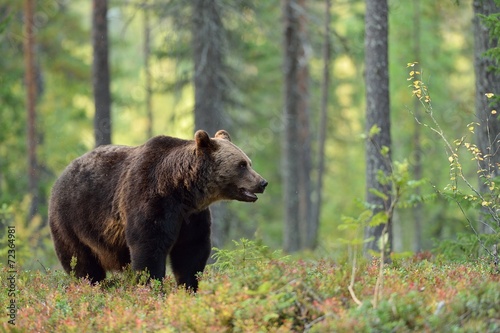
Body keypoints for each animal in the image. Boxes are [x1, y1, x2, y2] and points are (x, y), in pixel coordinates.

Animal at [48, 130, 268, 290]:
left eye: (249, 162)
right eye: (241, 164)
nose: (262, 182)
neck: (182, 190)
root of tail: (62, 174)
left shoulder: (192, 217)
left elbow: (191, 251)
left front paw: (189, 286)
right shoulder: (151, 200)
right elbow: (149, 246)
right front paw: (152, 287)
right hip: (72, 221)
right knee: (81, 263)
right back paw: (91, 285)